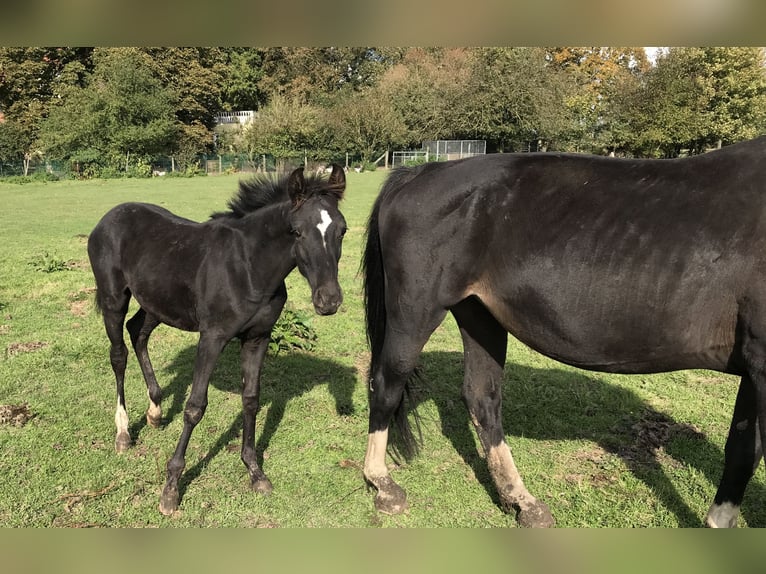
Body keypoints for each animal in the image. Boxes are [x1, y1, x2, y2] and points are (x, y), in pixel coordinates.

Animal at [89, 164, 348, 516]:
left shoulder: (257, 338)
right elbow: (195, 407)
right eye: (296, 231)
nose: (328, 301)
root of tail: (108, 217)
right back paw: (123, 432)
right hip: (114, 298)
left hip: (156, 302)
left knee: (138, 331)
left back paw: (155, 410)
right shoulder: (212, 338)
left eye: (342, 230)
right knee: (119, 353)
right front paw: (171, 488)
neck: (249, 268)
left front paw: (255, 472)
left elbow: (251, 400)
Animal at [364, 137, 766, 528]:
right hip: (415, 311)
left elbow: (744, 452)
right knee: (387, 383)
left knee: (482, 398)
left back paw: (522, 502)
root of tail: (419, 173)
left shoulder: (753, 368)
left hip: (478, 315)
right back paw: (382, 484)